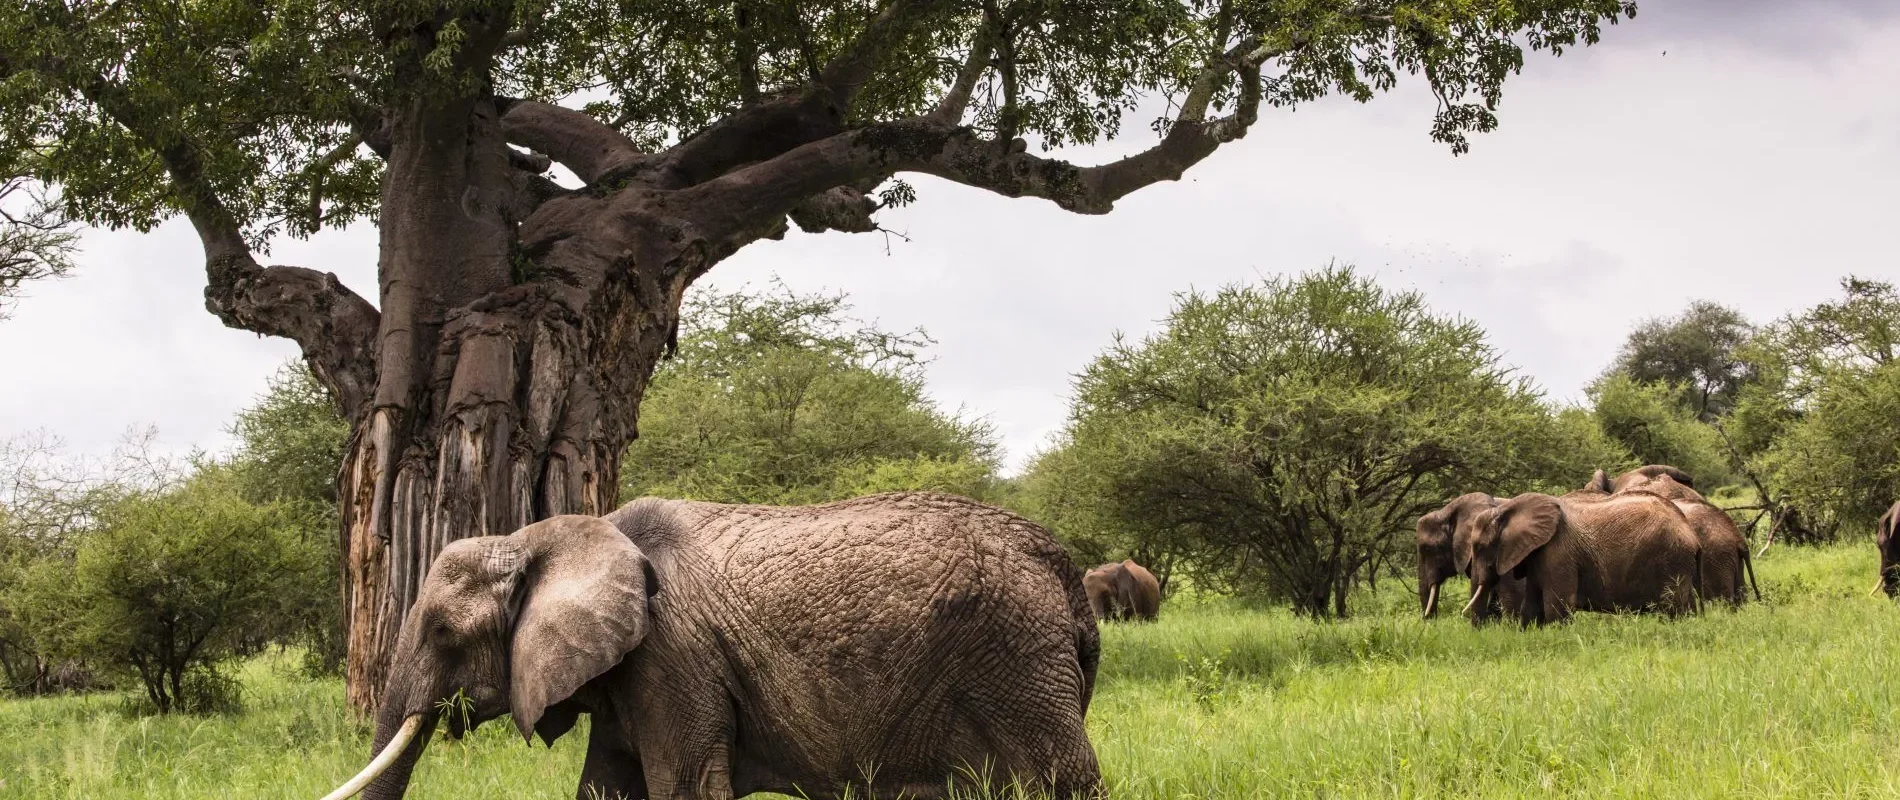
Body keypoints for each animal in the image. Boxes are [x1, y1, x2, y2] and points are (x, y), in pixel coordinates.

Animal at [325, 492, 1103, 800]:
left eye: (443, 633)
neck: (547, 535)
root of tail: (1060, 565)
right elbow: (605, 788)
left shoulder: (672, 658)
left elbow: (684, 786)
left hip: (1017, 658)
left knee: (1065, 779)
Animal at [1465, 491, 1704, 625]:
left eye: (1480, 547)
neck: (1507, 507)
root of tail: (1691, 533)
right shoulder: (1537, 554)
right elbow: (1532, 607)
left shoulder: (1558, 552)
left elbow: (1557, 608)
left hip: (1671, 559)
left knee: (1674, 607)